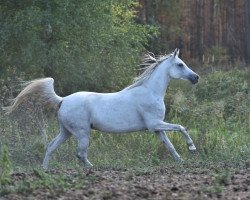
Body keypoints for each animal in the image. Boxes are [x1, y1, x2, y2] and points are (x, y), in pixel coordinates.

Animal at [3, 48, 199, 169]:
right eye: (180, 64)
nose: (196, 77)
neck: (150, 91)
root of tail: (63, 100)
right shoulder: (155, 124)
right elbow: (181, 127)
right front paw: (192, 148)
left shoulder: (157, 128)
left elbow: (170, 146)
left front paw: (181, 161)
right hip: (82, 133)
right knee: (80, 154)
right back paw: (93, 168)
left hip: (66, 132)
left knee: (51, 146)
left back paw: (44, 169)